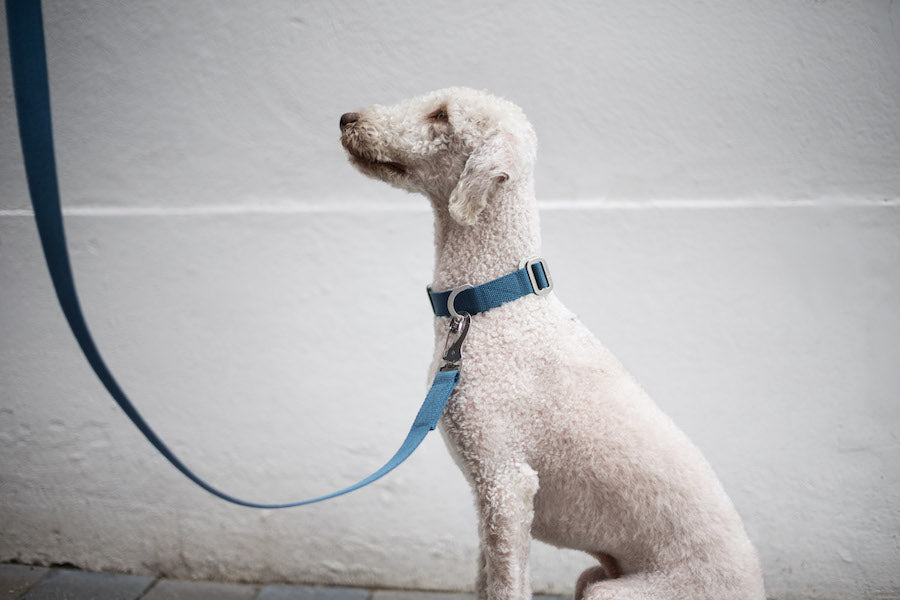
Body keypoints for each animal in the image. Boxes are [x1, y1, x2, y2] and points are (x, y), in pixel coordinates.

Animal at [340, 88, 768, 600]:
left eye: (441, 115)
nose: (346, 118)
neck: (493, 303)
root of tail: (755, 586)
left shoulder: (506, 483)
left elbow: (508, 587)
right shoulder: (489, 502)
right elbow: (487, 582)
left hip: (629, 591)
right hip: (597, 576)